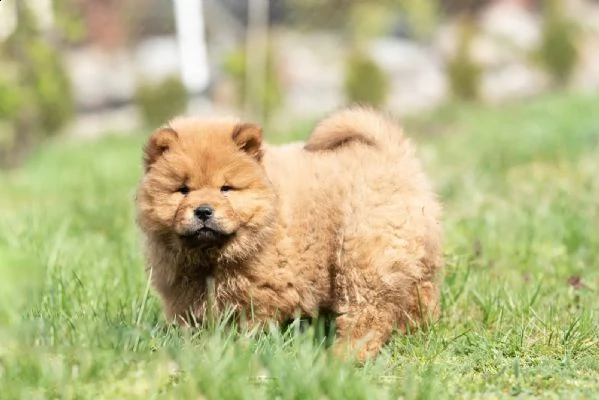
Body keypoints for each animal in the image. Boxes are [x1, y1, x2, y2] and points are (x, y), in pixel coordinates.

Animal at [137, 108, 446, 360]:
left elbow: (252, 322)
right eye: (183, 190)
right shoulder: (184, 291)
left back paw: (345, 356)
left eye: (226, 189)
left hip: (361, 257)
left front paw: (243, 347)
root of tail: (394, 157)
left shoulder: (261, 291)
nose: (203, 211)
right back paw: (415, 332)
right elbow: (193, 323)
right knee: (418, 297)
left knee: (368, 313)